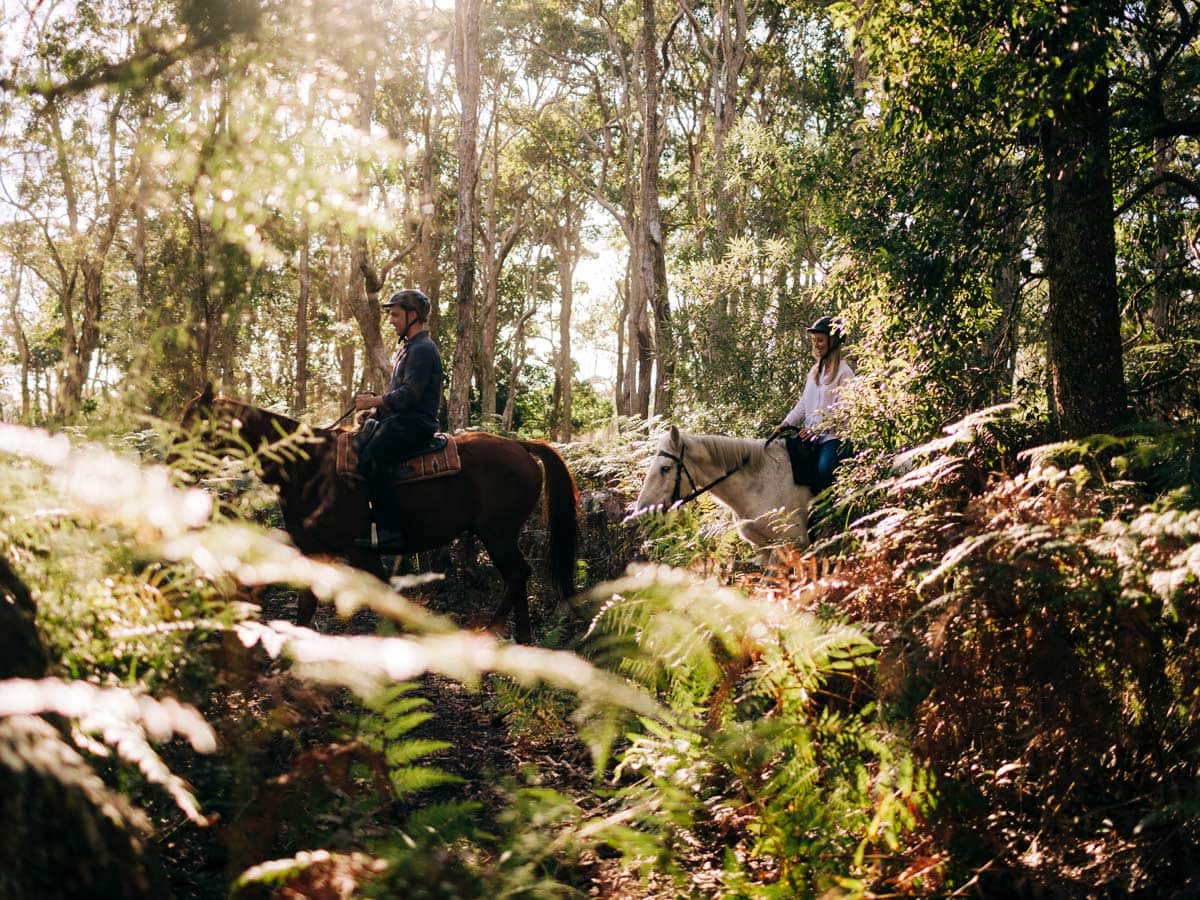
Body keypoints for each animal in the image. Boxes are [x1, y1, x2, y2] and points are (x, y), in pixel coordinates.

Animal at [175, 384, 580, 643]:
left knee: (517, 574)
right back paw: (522, 637)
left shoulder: (360, 551)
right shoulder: (313, 550)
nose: (172, 465)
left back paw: (491, 632)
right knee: (518, 576)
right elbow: (307, 605)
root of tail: (522, 447)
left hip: (497, 533)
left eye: (195, 425)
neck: (307, 467)